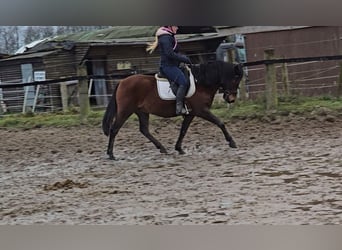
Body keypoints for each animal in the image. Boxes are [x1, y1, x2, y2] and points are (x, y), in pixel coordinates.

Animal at [101, 59, 243, 159]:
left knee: (144, 130)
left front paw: (179, 148)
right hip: (125, 111)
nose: (231, 99)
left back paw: (162, 148)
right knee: (114, 129)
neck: (201, 82)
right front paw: (232, 142)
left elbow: (183, 130)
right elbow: (220, 122)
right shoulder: (201, 110)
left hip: (142, 112)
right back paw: (111, 154)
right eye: (235, 79)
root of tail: (122, 81)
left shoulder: (190, 114)